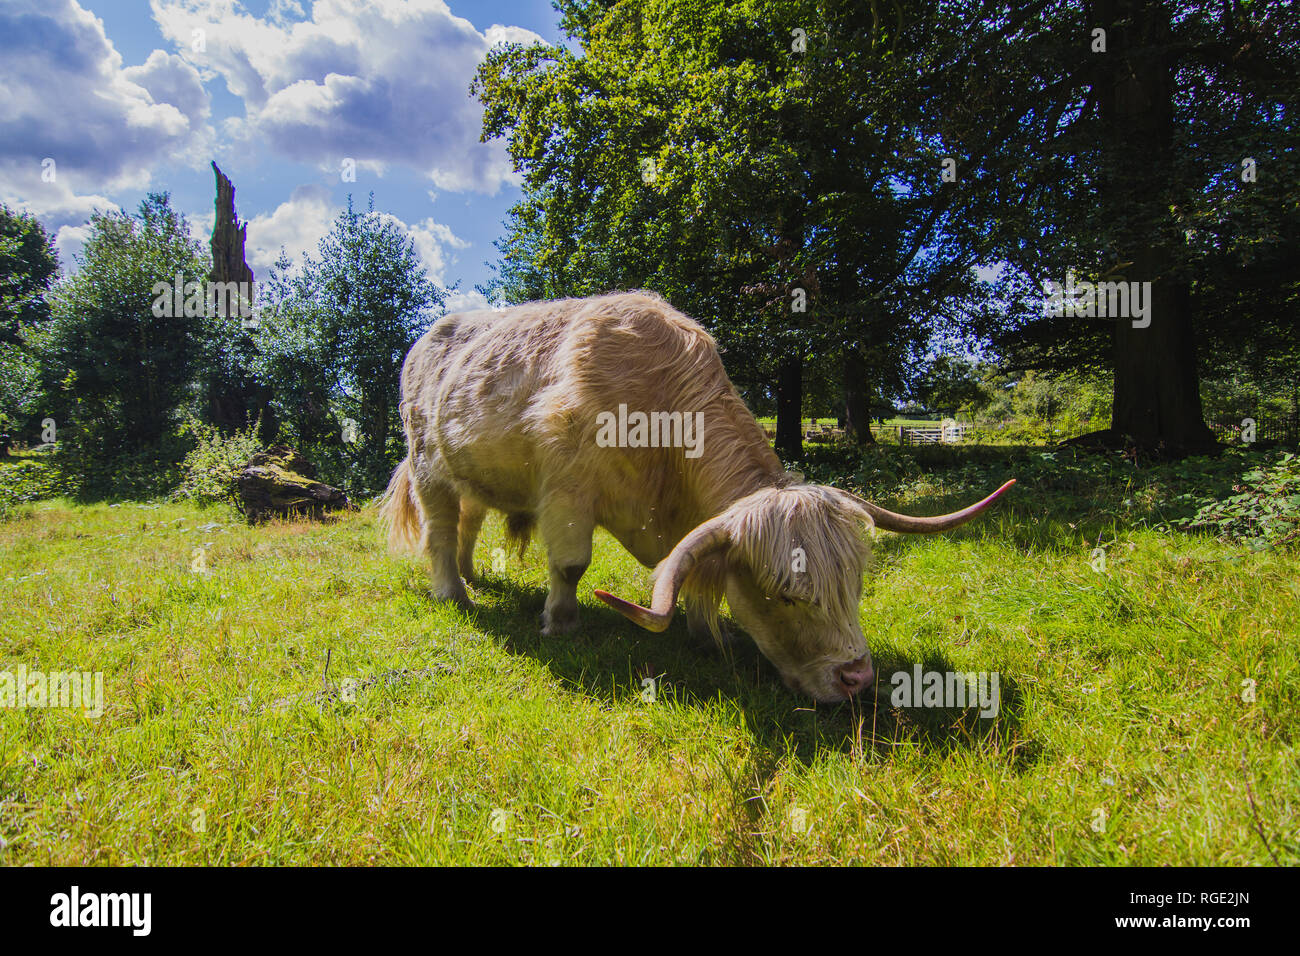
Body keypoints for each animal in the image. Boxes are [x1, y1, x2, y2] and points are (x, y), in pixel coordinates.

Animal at [380, 291, 1014, 702]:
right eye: (786, 596)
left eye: (854, 586)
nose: (857, 678)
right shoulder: (567, 490)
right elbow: (571, 564)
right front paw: (561, 623)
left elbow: (684, 568)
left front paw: (706, 632)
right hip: (428, 466)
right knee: (441, 530)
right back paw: (454, 592)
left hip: (471, 474)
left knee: (467, 523)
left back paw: (471, 575)